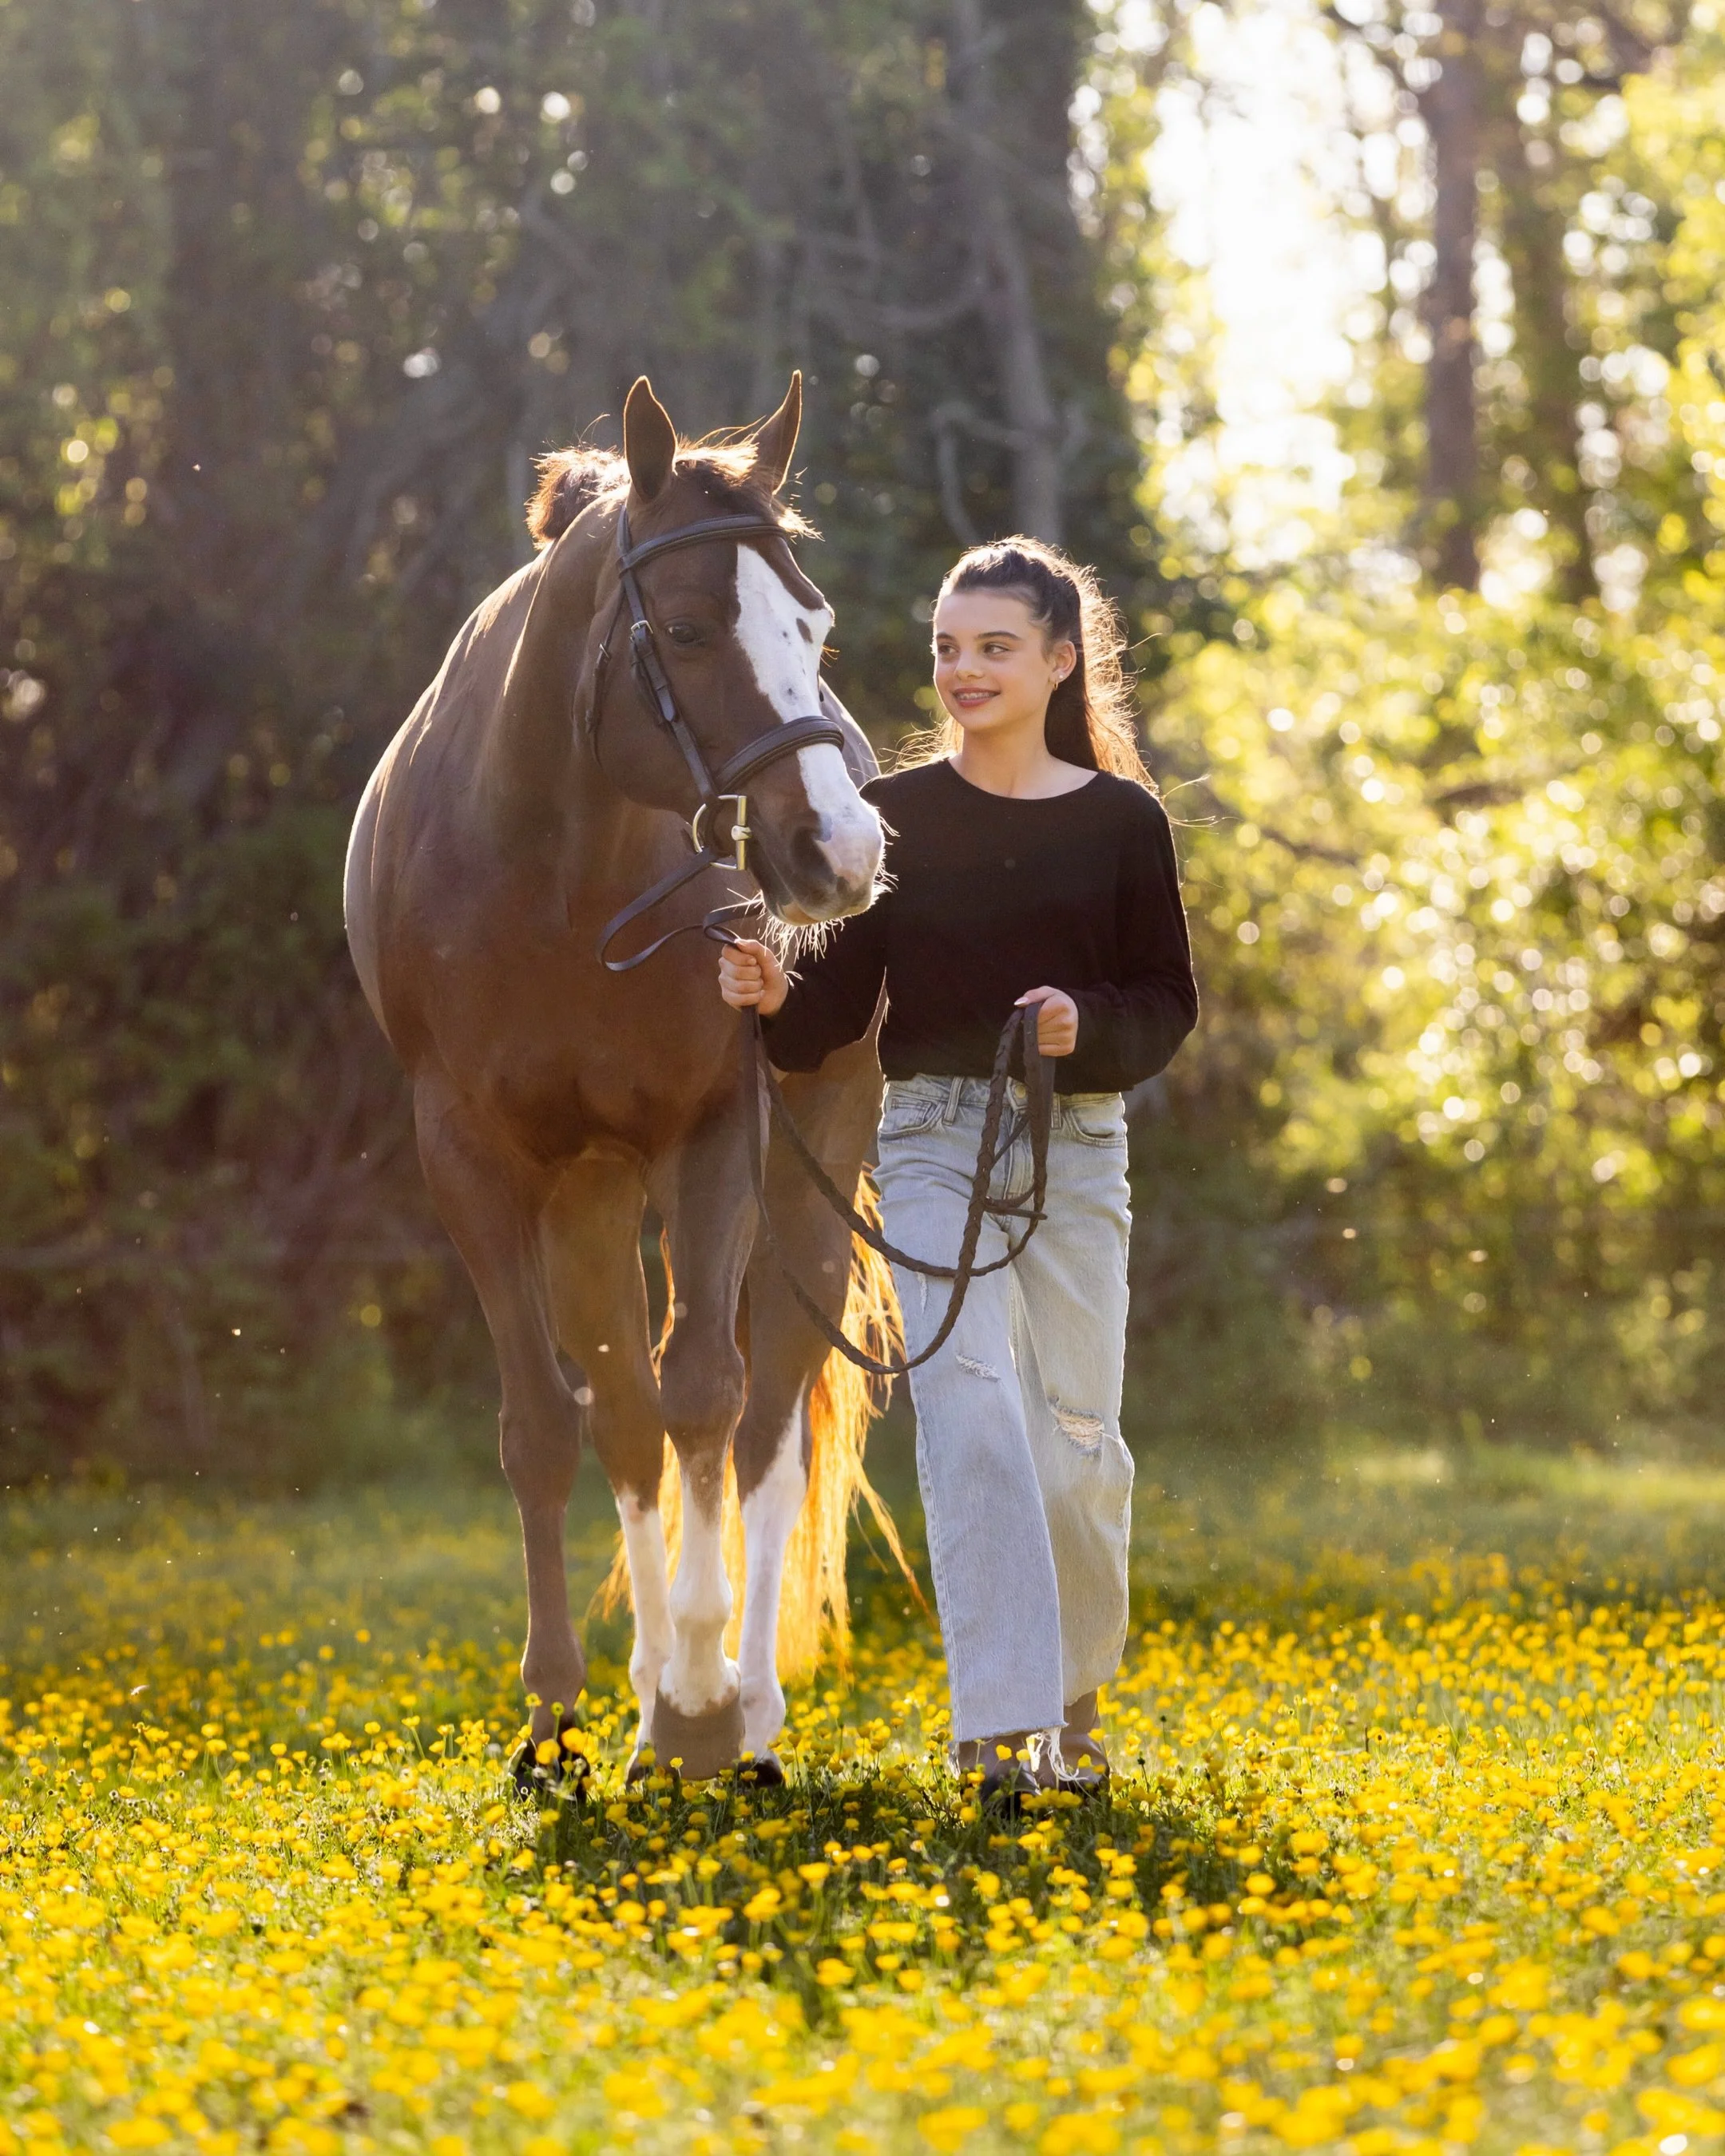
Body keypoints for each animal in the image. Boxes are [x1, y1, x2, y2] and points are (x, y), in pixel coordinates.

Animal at [344, 373, 899, 1782]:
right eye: (691, 629)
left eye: (811, 622)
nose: (841, 849)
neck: (551, 871)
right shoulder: (472, 1162)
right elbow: (549, 1424)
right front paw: (559, 1713)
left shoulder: (711, 1135)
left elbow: (711, 1393)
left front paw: (702, 1702)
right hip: (588, 1197)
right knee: (628, 1421)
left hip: (806, 1167)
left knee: (762, 1422)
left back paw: (739, 1706)